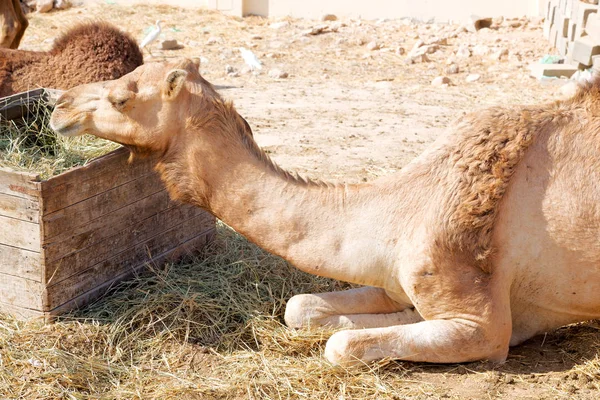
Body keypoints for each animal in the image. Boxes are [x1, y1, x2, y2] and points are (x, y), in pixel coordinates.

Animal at [49, 57, 600, 368]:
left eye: (121, 97)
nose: (57, 104)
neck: (404, 207)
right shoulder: (393, 280)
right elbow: (301, 309)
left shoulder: (484, 325)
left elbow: (340, 349)